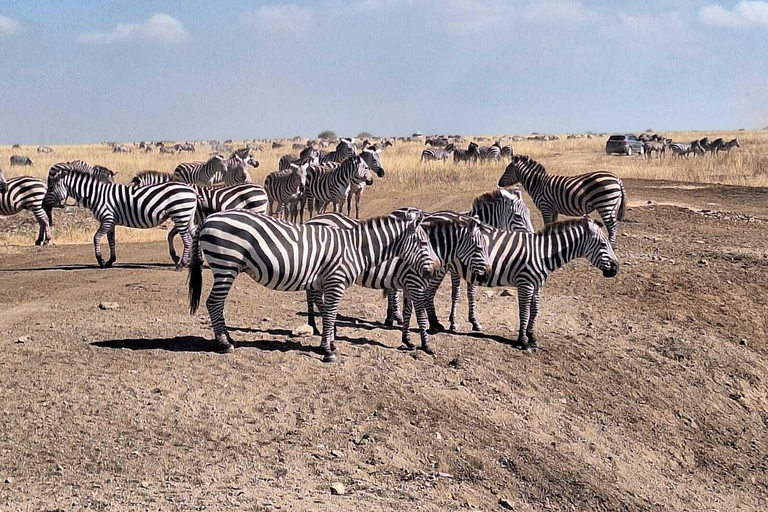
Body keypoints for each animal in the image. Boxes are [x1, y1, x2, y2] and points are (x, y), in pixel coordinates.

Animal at [42, 169, 198, 272]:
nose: (43, 204)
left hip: (180, 215)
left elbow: (96, 238)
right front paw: (111, 261)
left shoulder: (107, 219)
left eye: (51, 187)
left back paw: (181, 265)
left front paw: (101, 260)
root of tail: (191, 190)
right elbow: (111, 241)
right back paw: (193, 262)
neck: (96, 195)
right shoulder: (111, 222)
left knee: (187, 240)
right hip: (187, 217)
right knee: (193, 237)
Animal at [187, 208, 440, 360]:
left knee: (216, 304)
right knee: (213, 303)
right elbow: (330, 314)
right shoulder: (336, 281)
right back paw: (224, 344)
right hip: (225, 265)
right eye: (423, 242)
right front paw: (328, 350)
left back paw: (228, 339)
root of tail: (208, 218)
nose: (434, 269)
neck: (355, 248)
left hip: (225, 267)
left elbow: (327, 312)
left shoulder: (324, 283)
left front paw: (328, 343)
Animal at [304, 210, 488, 354]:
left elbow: (407, 312)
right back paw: (317, 327)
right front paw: (426, 345)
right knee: (313, 297)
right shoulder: (415, 284)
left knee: (314, 297)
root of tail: (311, 220)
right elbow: (421, 316)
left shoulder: (408, 285)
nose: (486, 276)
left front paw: (407, 340)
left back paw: (324, 327)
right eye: (479, 248)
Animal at [450, 214, 616, 350]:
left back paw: (473, 323)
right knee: (455, 294)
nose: (616, 268)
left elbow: (535, 310)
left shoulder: (537, 285)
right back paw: (452, 323)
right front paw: (522, 340)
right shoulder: (525, 284)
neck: (543, 254)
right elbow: (524, 311)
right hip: (452, 268)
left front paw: (532, 337)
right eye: (603, 244)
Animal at [498, 154, 632, 246]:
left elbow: (547, 224)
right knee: (614, 226)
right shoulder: (553, 209)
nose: (498, 184)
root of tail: (617, 178)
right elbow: (553, 224)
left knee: (612, 227)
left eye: (507, 170)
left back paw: (611, 246)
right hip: (612, 206)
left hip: (605, 204)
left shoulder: (545, 206)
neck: (538, 183)